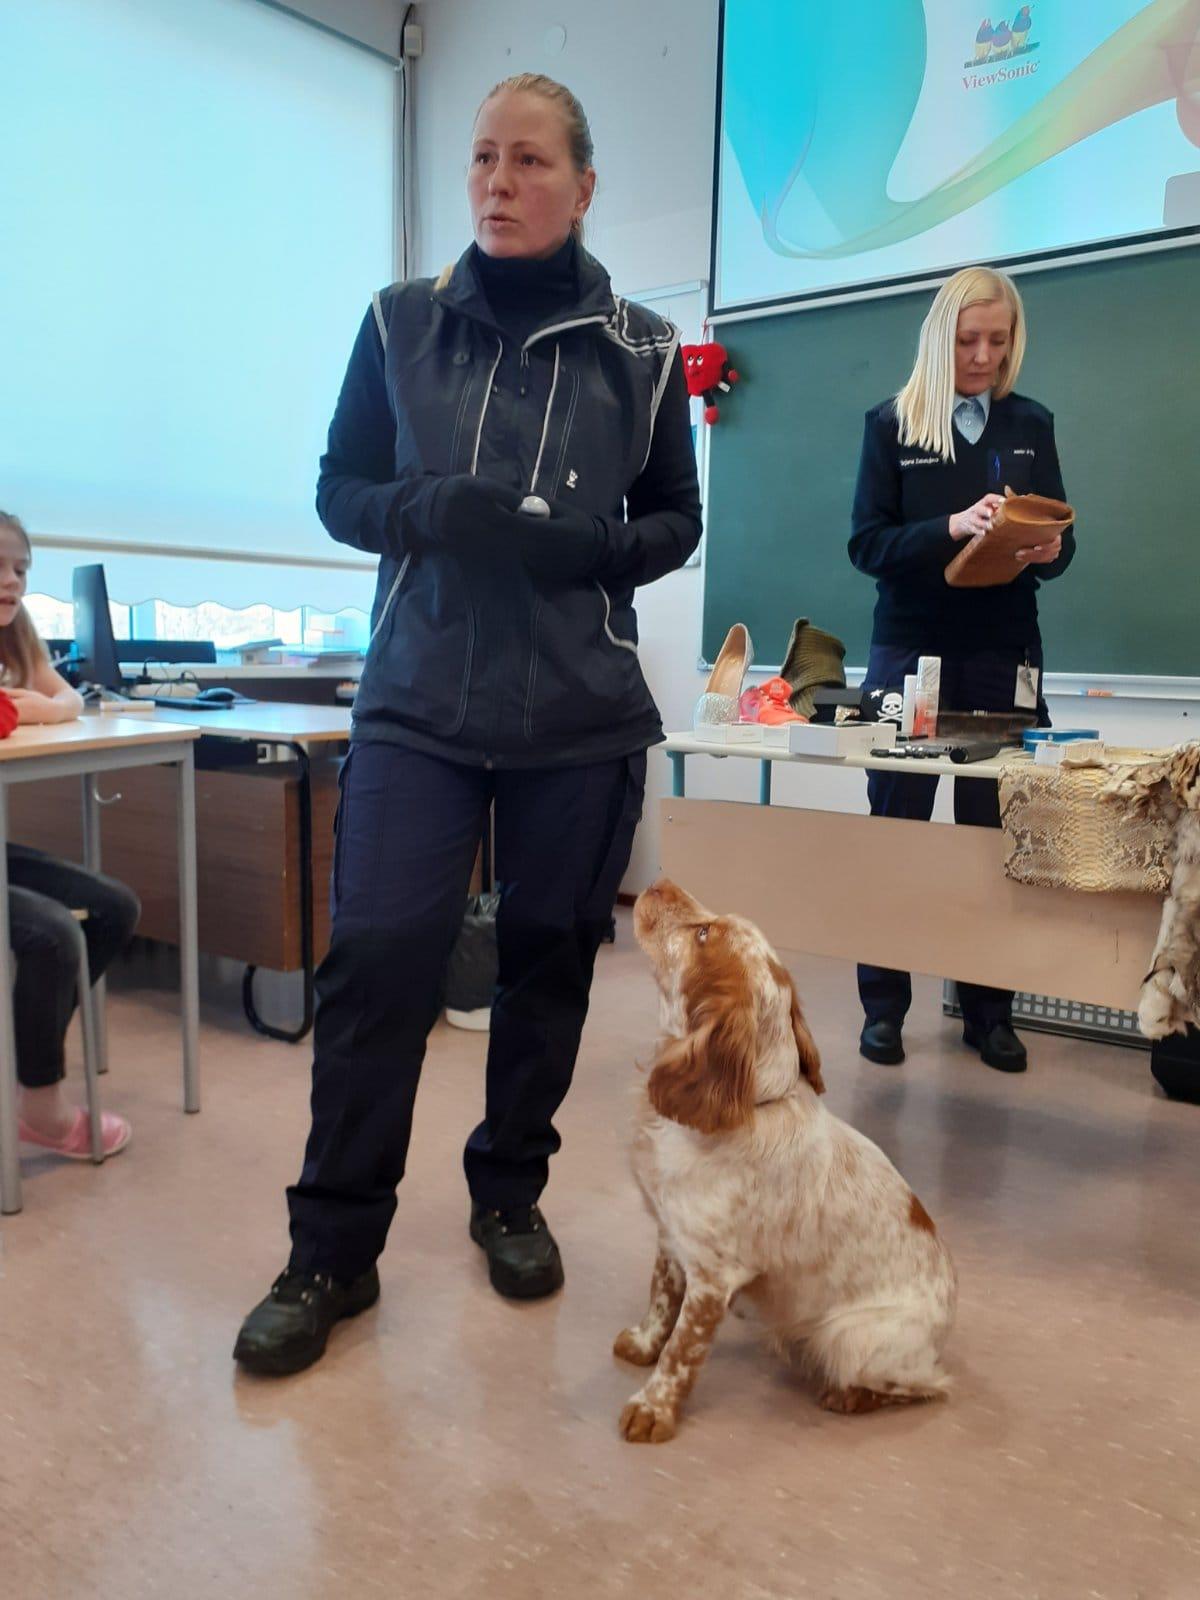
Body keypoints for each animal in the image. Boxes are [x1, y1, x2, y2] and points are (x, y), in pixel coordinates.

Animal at [614, 880, 957, 1444]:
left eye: (704, 934)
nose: (661, 883)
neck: (747, 1106)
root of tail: (946, 1328)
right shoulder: (672, 1238)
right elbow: (660, 1300)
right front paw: (643, 1344)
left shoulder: (714, 1277)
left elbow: (681, 1352)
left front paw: (653, 1408)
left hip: (853, 1338)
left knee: (929, 1385)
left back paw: (846, 1395)